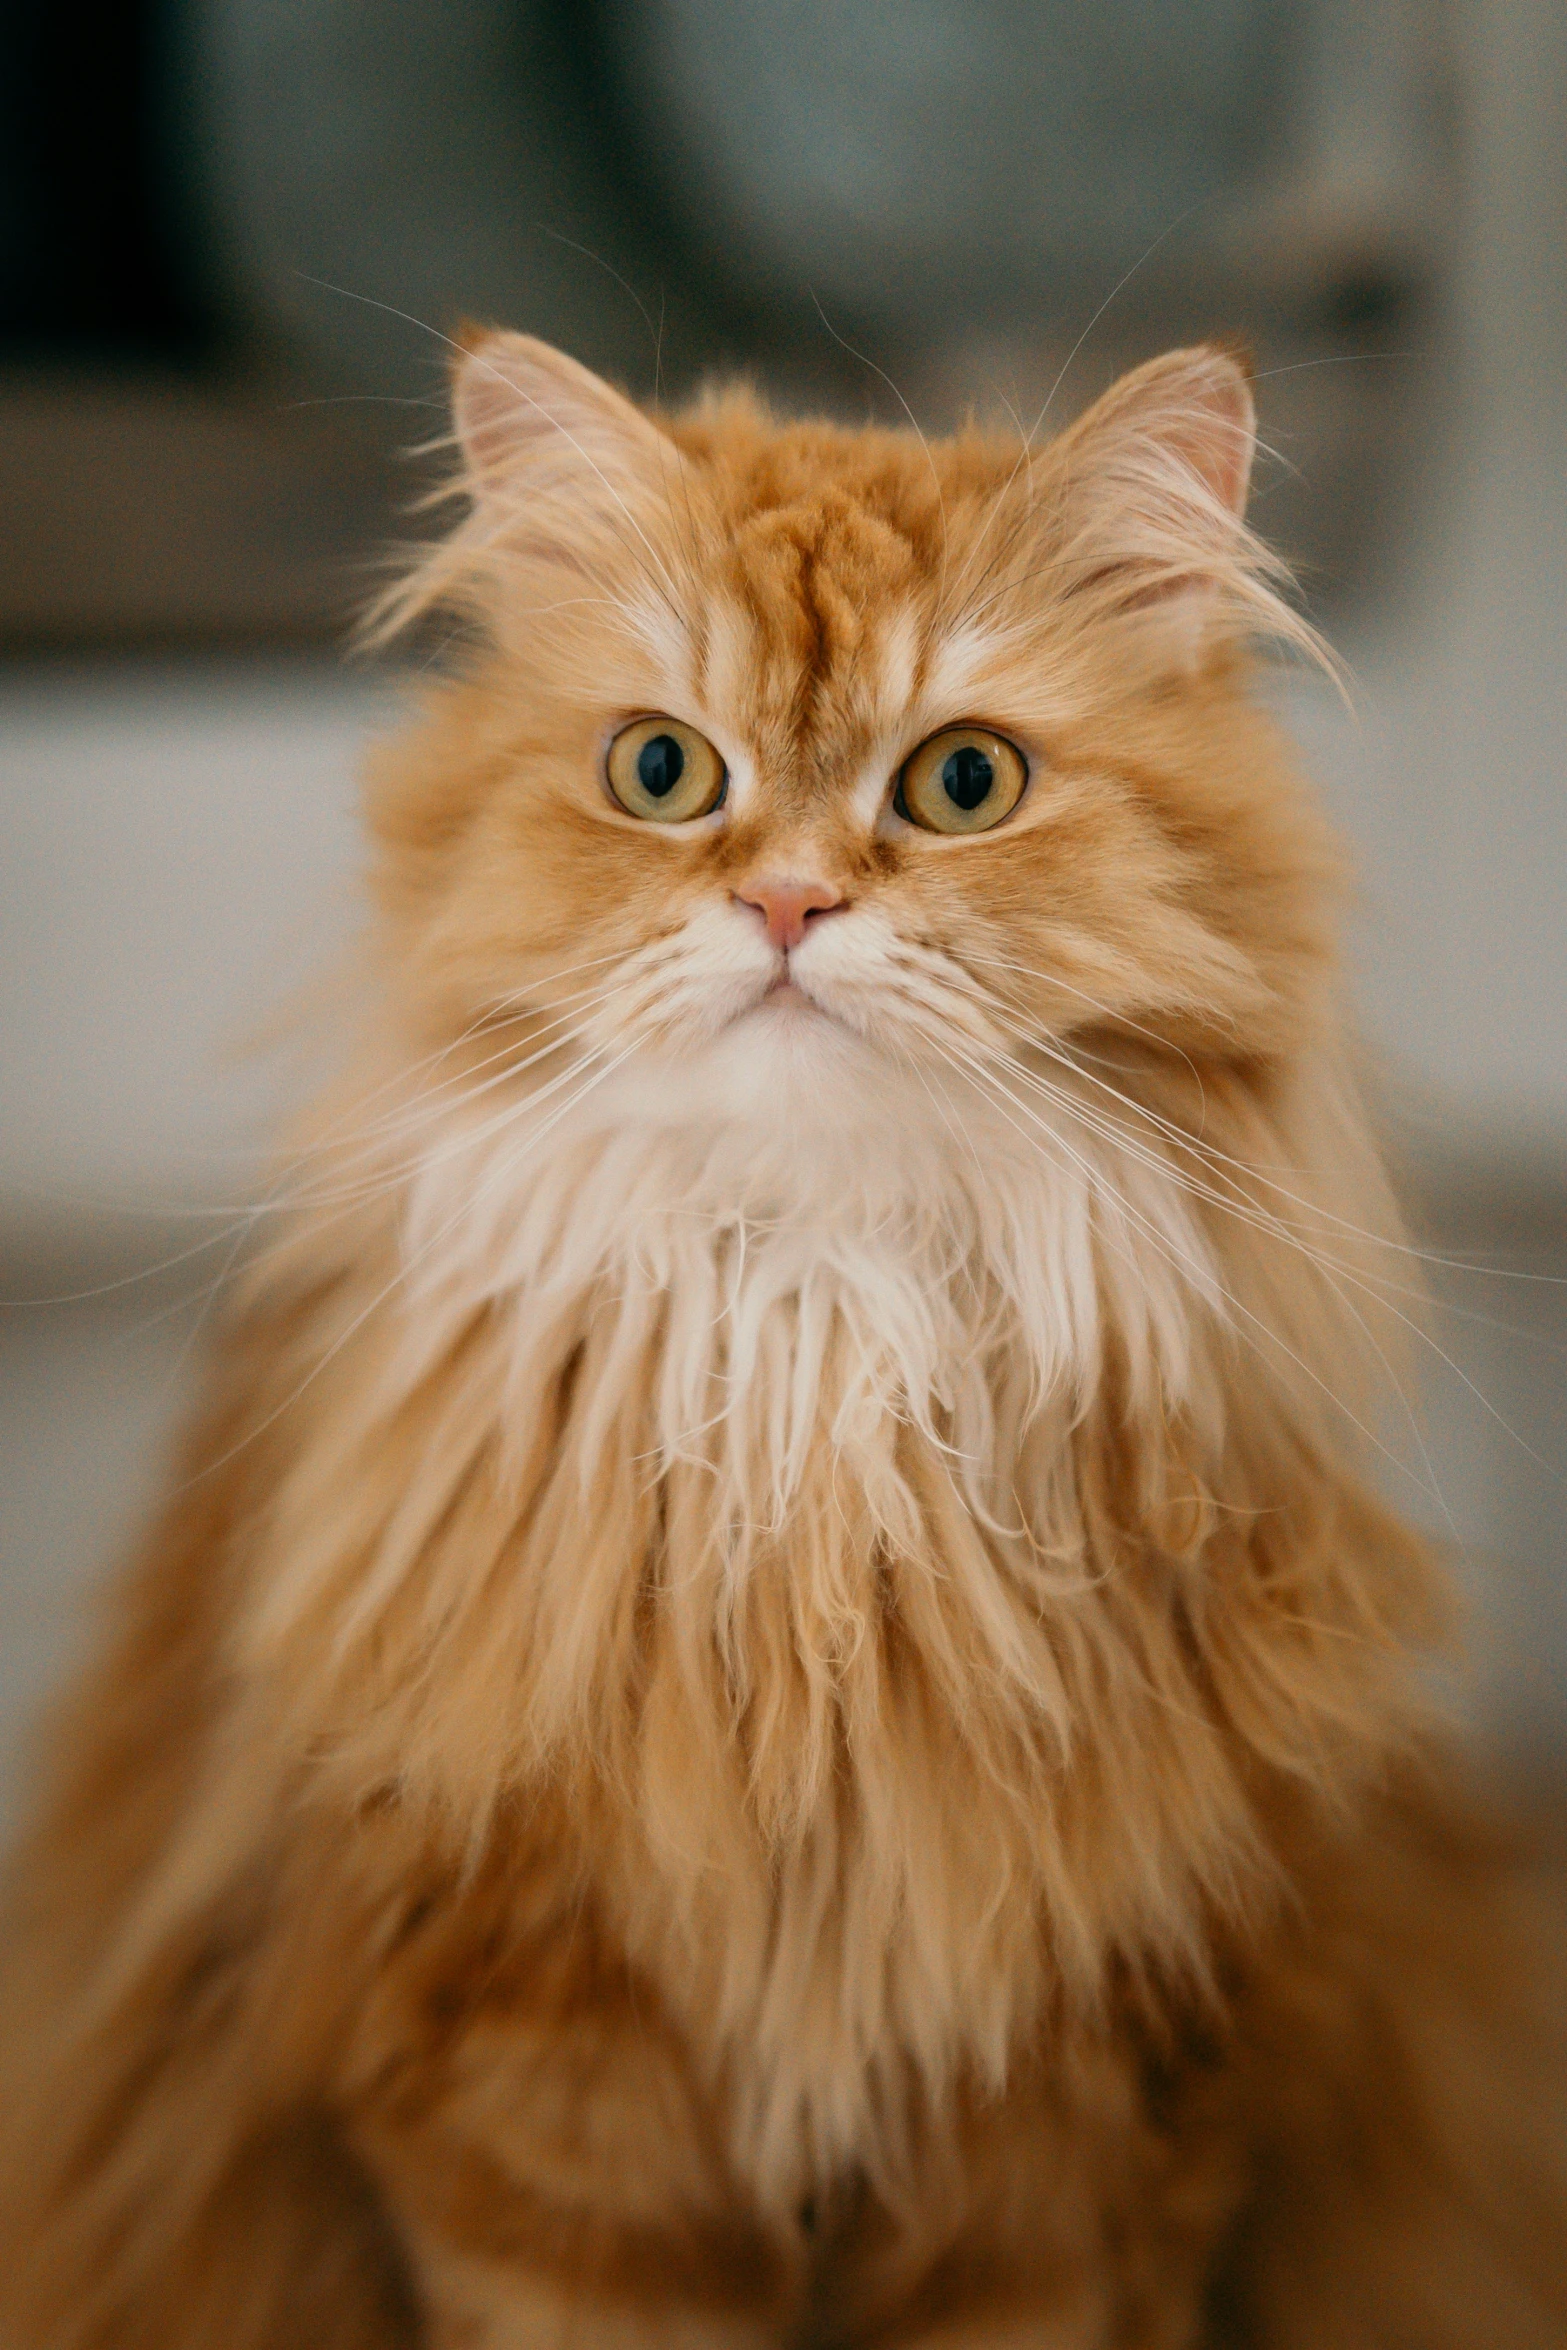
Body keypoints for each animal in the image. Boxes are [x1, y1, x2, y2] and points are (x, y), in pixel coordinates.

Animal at [3, 336, 1567, 2350]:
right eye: (661, 770)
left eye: (963, 781)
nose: (786, 904)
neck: (822, 1347)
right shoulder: (534, 2097)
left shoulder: (1074, 2128)